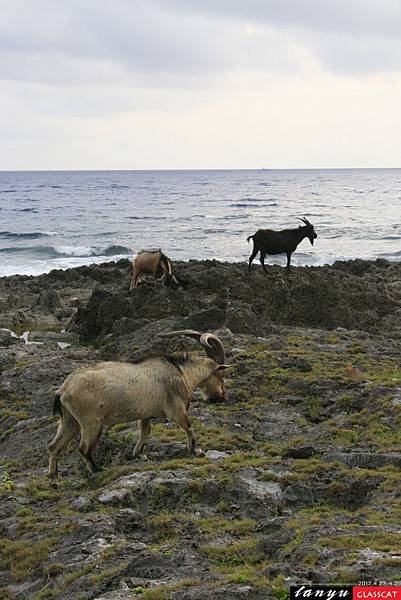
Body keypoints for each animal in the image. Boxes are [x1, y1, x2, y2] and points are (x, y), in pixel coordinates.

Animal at [47, 330, 228, 480]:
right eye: (220, 374)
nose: (220, 397)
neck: (181, 372)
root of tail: (63, 390)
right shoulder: (177, 409)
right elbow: (189, 427)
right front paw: (197, 451)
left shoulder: (146, 414)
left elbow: (145, 431)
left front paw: (139, 454)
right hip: (91, 422)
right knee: (83, 448)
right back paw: (96, 470)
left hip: (70, 421)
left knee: (54, 446)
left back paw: (54, 479)